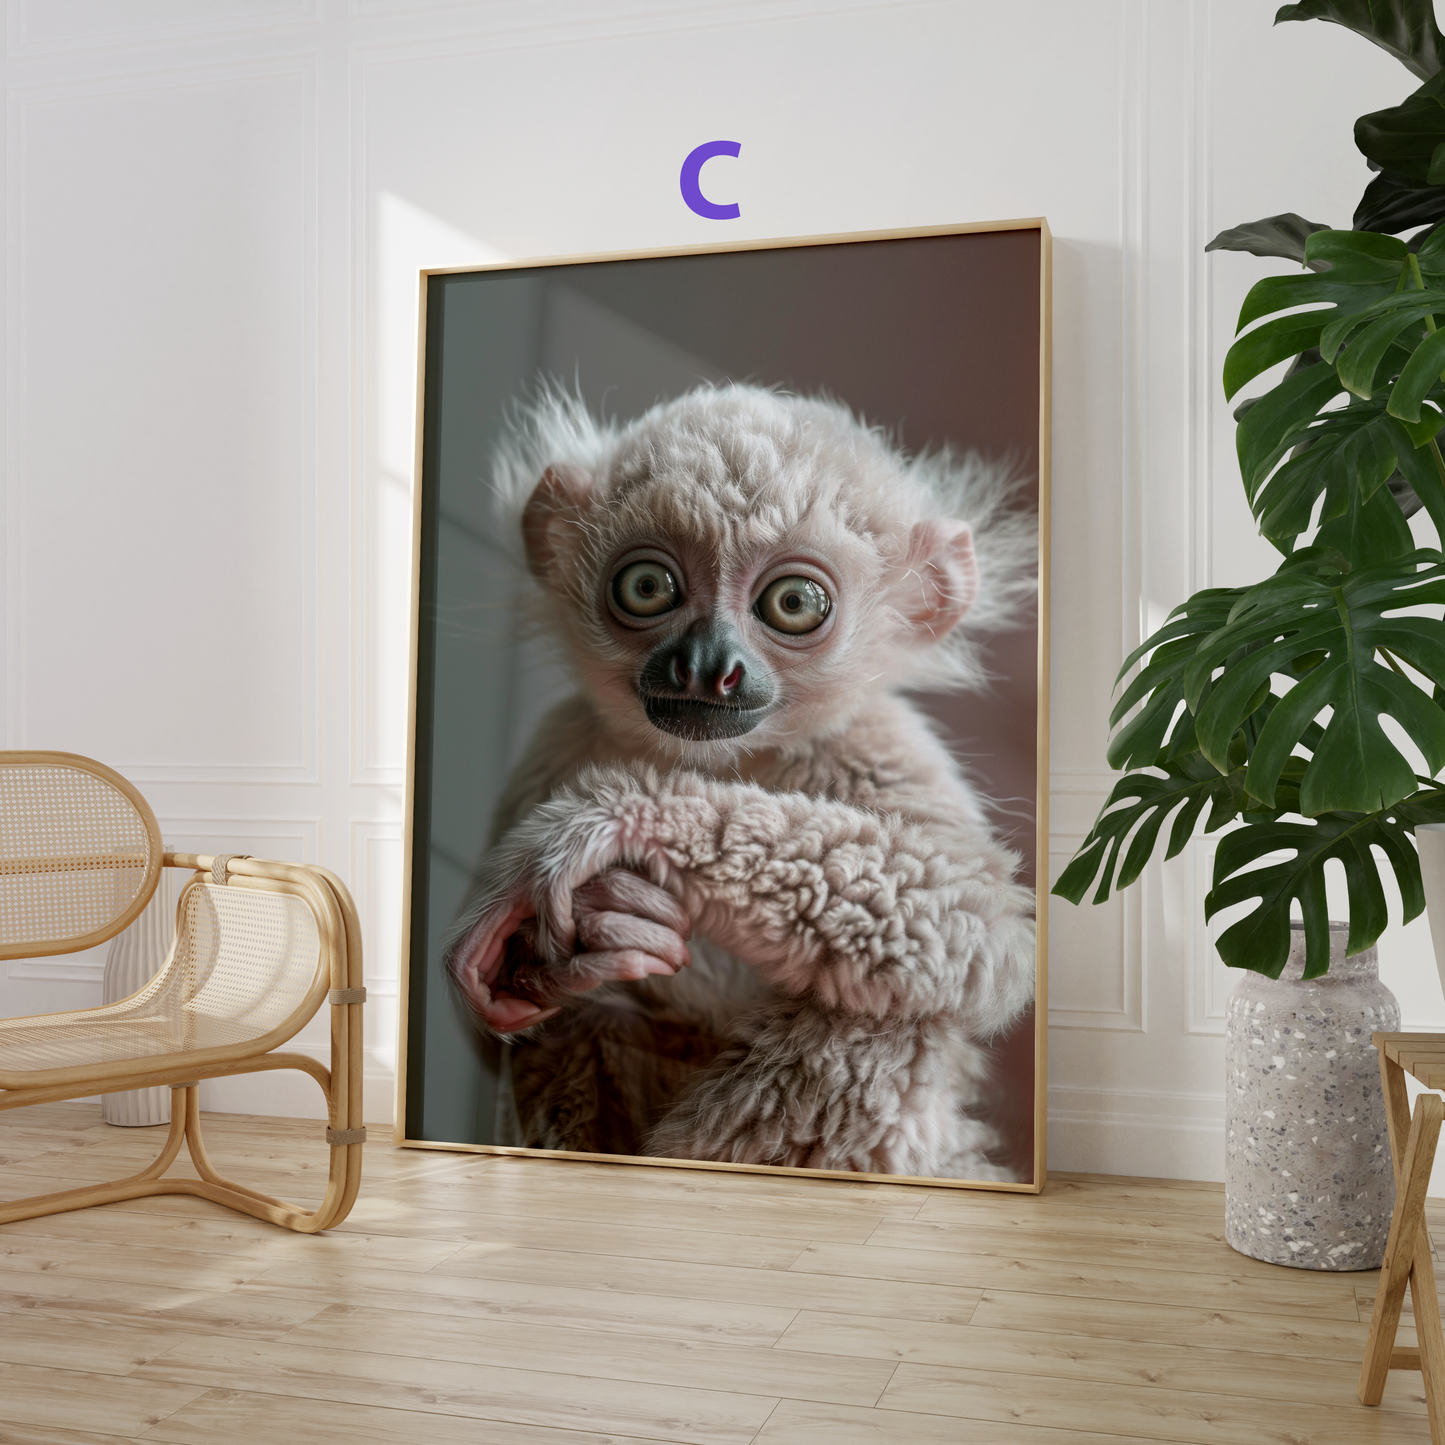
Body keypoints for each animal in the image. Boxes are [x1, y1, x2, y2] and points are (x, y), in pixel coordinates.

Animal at [446, 382, 1037, 1180]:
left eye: (793, 604)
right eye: (647, 586)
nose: (705, 666)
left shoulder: (875, 741)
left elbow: (980, 920)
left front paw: (609, 827)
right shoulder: (556, 742)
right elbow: (495, 1029)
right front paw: (552, 968)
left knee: (882, 1020)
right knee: (573, 1032)